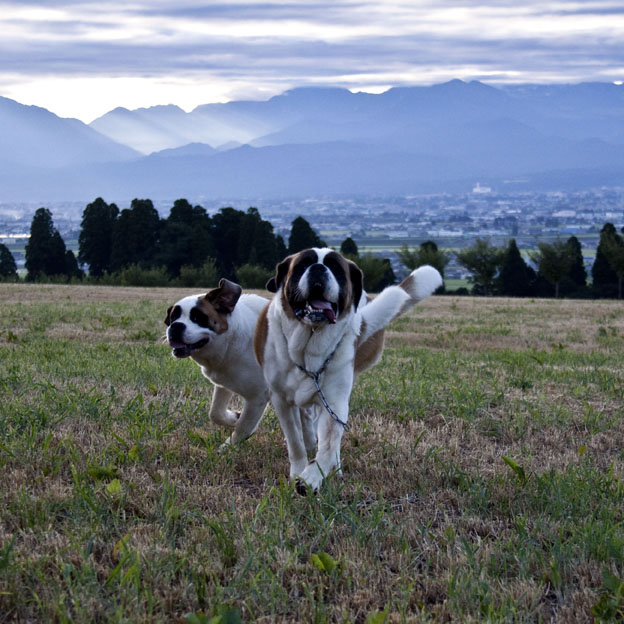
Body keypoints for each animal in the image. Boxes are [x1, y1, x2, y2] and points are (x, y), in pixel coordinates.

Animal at [165, 280, 270, 446]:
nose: (175, 326)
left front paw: (228, 447)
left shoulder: (258, 396)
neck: (231, 338)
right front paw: (234, 417)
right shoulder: (224, 383)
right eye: (173, 317)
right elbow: (215, 413)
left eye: (198, 318)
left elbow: (243, 427)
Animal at [254, 247, 444, 492]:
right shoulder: (281, 400)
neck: (309, 344)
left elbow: (328, 443)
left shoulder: (334, 401)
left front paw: (312, 477)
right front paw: (298, 470)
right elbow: (294, 441)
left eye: (336, 268)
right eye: (302, 264)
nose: (318, 268)